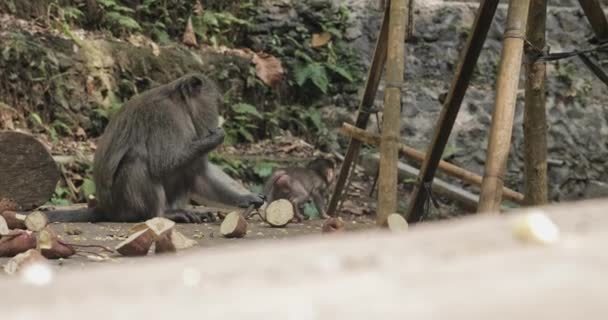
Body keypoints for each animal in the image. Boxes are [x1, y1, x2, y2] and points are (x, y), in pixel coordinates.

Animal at [41, 73, 264, 224]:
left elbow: (200, 172)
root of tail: (106, 209)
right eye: (216, 103)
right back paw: (161, 214)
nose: (219, 117)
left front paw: (247, 198)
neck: (180, 104)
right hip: (123, 206)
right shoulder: (167, 117)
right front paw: (214, 139)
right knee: (138, 159)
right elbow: (161, 163)